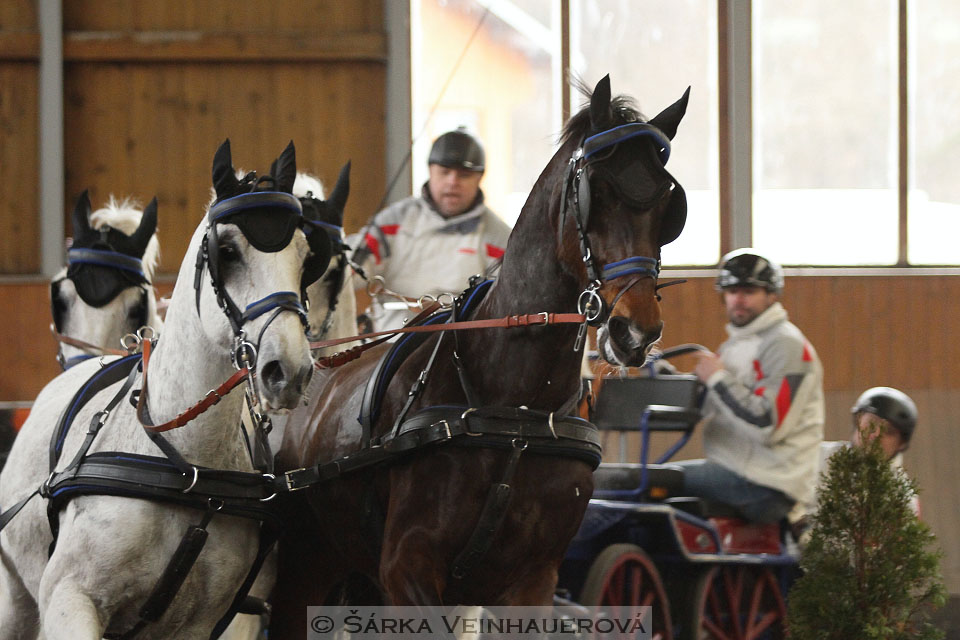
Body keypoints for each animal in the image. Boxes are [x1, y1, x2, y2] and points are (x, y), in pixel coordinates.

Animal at [0, 140, 326, 640]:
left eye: (307, 258)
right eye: (227, 251)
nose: (287, 370)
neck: (184, 465)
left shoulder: (201, 622)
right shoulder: (68, 599)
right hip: (17, 599)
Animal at [270, 76, 688, 636]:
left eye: (668, 204)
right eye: (595, 192)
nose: (635, 329)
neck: (517, 411)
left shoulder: (534, 579)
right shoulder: (405, 566)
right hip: (305, 564)